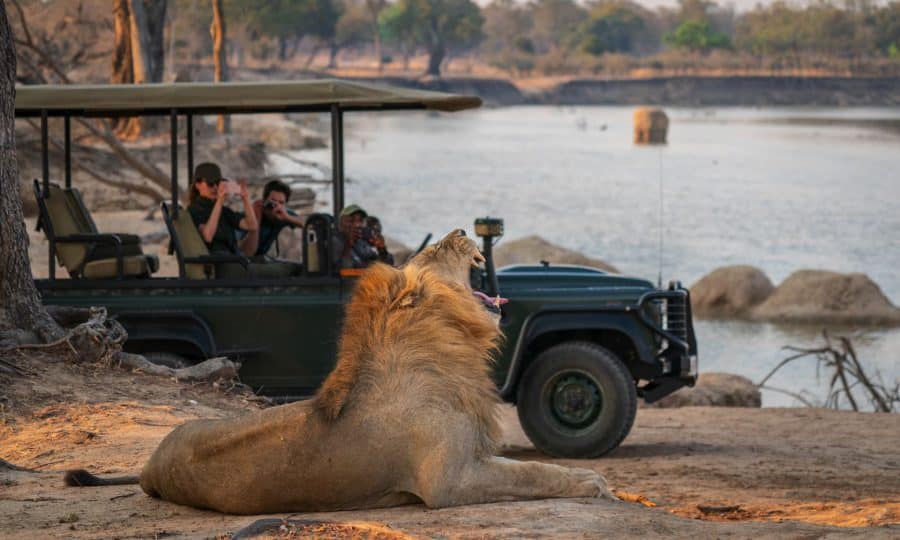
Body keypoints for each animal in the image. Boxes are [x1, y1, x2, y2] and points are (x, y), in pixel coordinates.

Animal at [64, 229, 612, 514]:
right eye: (435, 251)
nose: (463, 232)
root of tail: (148, 467)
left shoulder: (473, 457)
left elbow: (535, 469)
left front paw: (587, 477)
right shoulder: (448, 482)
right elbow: (532, 475)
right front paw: (593, 484)